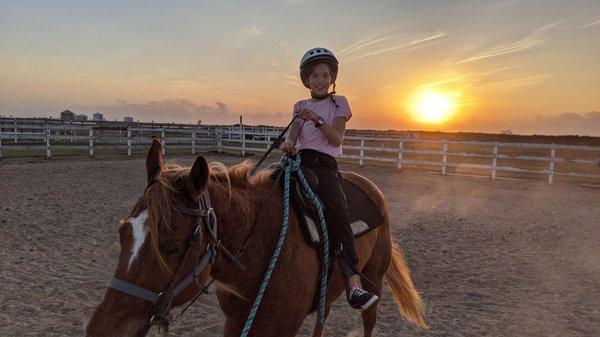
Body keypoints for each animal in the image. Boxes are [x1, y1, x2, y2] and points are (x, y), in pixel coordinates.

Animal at [88, 138, 426, 334]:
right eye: (122, 234)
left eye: (170, 248)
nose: (102, 329)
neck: (261, 247)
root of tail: (370, 186)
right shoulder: (236, 321)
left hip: (373, 278)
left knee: (369, 318)